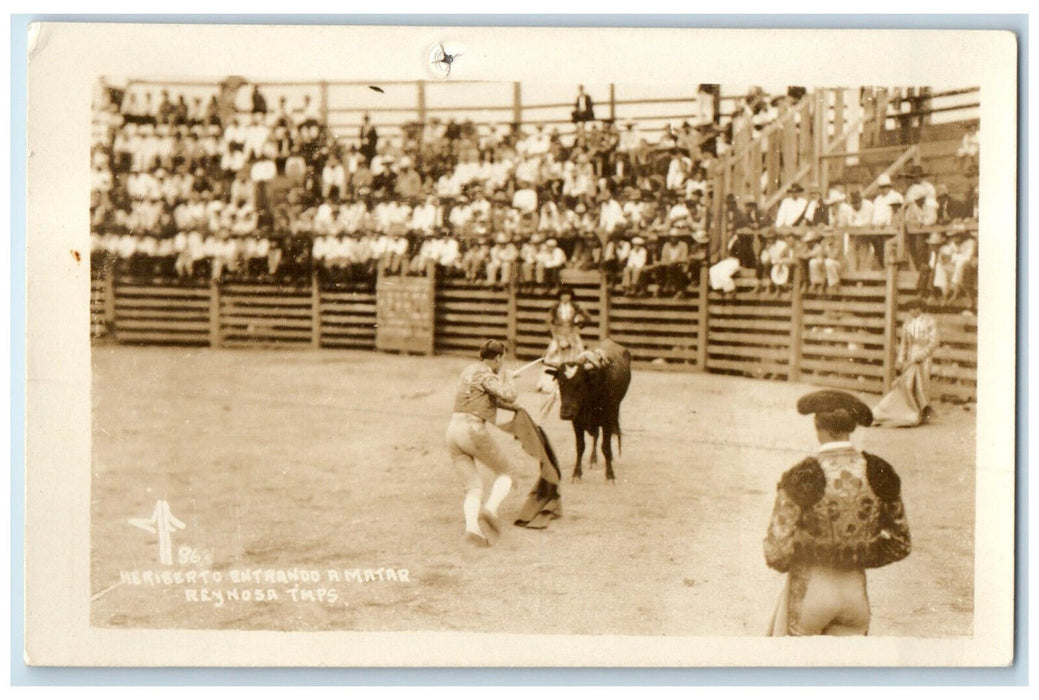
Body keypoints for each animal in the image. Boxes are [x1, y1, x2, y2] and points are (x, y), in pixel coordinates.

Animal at [544, 336, 631, 479]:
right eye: (560, 382)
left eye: (579, 384)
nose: (566, 414)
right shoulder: (577, 421)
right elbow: (580, 446)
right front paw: (576, 473)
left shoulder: (607, 420)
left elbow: (606, 447)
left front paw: (609, 474)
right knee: (595, 435)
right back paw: (592, 459)